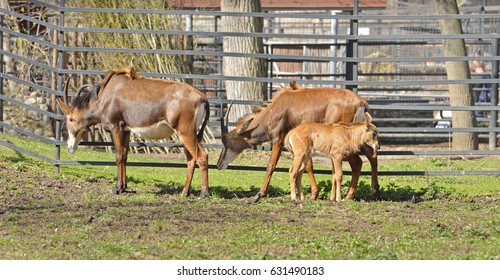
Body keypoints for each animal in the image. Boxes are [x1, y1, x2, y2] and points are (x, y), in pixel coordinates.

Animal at [56, 67, 209, 197]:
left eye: (70, 119)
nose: (69, 147)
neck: (105, 95)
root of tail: (201, 97)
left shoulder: (116, 127)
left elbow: (118, 156)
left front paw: (117, 188)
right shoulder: (126, 130)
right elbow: (124, 156)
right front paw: (124, 187)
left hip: (186, 132)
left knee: (201, 156)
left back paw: (203, 193)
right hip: (189, 134)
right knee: (191, 160)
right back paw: (184, 193)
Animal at [217, 82, 380, 202]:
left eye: (226, 140)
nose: (219, 164)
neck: (273, 109)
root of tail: (361, 102)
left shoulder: (278, 140)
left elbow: (271, 166)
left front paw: (259, 194)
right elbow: (308, 165)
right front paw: (313, 194)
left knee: (358, 162)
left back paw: (351, 195)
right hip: (360, 137)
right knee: (370, 155)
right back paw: (371, 190)